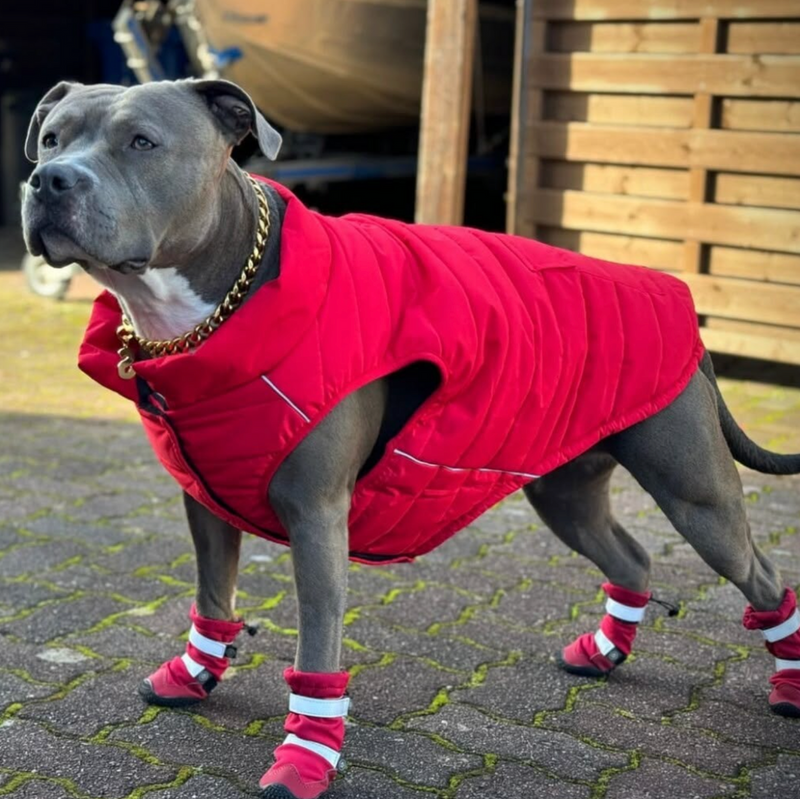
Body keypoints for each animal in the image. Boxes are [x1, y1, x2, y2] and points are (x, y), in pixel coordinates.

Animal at [20, 79, 800, 799]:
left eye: (141, 142)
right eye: (52, 139)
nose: (46, 181)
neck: (213, 313)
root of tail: (683, 310)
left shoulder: (316, 517)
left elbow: (317, 648)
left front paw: (304, 759)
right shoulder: (206, 499)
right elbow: (213, 598)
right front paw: (192, 674)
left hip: (696, 495)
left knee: (762, 576)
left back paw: (786, 687)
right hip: (566, 491)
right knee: (632, 557)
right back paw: (603, 652)